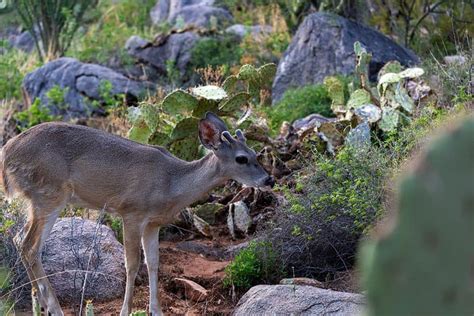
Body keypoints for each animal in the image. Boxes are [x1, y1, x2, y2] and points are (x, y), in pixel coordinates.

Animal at [0, 112, 274, 314]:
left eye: (256, 153)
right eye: (241, 158)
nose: (269, 180)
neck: (171, 183)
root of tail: (6, 154)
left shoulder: (153, 223)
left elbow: (153, 263)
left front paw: (157, 310)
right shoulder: (131, 212)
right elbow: (131, 264)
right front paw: (126, 310)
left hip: (39, 199)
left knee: (20, 241)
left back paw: (41, 305)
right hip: (49, 194)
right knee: (29, 246)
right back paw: (53, 308)